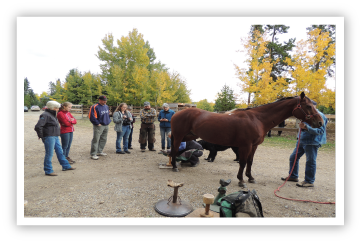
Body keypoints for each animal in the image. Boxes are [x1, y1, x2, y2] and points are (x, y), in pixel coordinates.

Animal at [169, 91, 326, 187]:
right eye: (308, 106)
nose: (320, 122)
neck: (257, 119)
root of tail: (177, 113)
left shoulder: (254, 146)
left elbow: (250, 162)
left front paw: (250, 178)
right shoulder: (246, 146)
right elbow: (243, 162)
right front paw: (241, 181)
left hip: (188, 135)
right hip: (179, 136)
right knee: (175, 150)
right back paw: (174, 167)